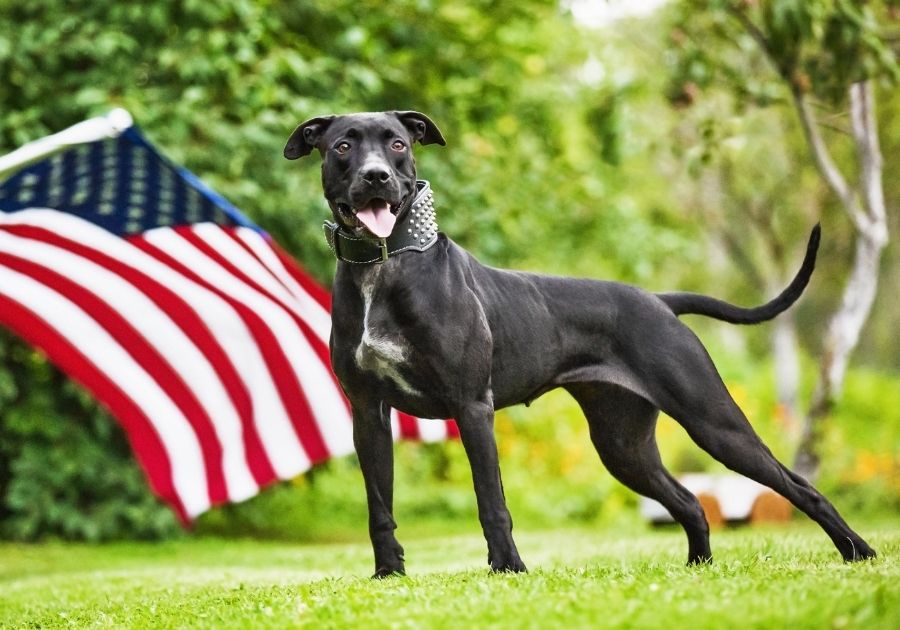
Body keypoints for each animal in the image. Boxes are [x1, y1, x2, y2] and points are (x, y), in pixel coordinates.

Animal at [284, 110, 876, 576]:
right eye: (343, 146)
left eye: (397, 143)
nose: (376, 176)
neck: (384, 265)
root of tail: (659, 300)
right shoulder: (368, 413)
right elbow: (379, 505)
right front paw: (389, 575)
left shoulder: (472, 407)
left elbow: (491, 500)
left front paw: (509, 570)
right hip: (623, 445)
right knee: (689, 501)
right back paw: (698, 568)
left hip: (713, 421)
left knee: (798, 485)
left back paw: (859, 552)